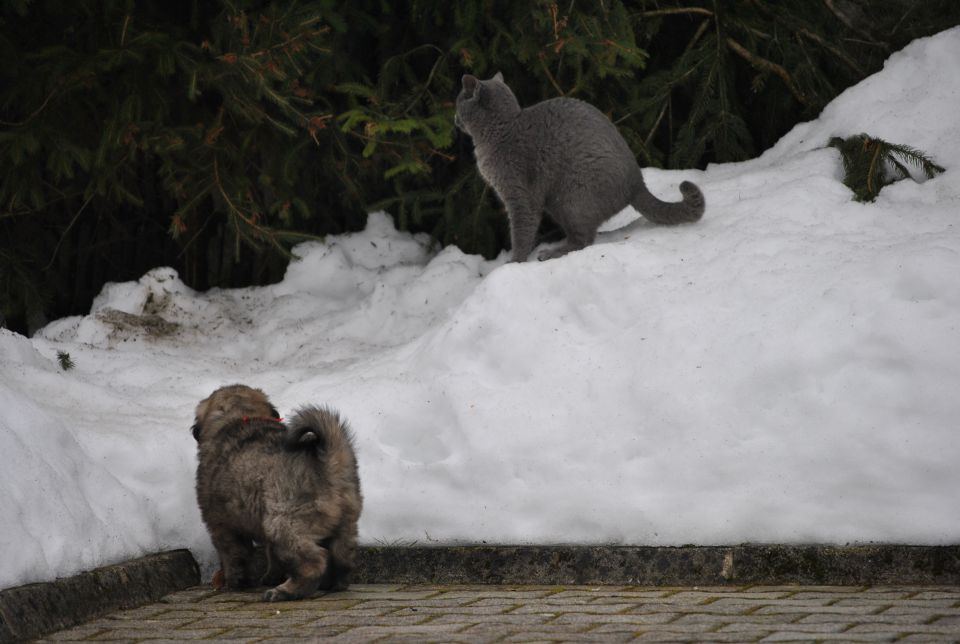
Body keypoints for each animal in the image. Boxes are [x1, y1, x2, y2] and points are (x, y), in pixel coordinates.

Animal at [193, 384, 362, 600]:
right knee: (342, 556)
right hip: (346, 520)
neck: (240, 415)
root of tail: (328, 461)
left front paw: (236, 582)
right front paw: (270, 577)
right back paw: (333, 584)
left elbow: (234, 555)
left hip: (284, 523)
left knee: (314, 562)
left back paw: (284, 591)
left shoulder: (221, 524)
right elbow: (271, 555)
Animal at [454, 76, 700, 264]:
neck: (501, 131)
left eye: (458, 103)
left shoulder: (520, 196)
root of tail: (638, 183)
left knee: (583, 240)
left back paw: (550, 253)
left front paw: (514, 264)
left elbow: (521, 233)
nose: (454, 117)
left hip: (572, 196)